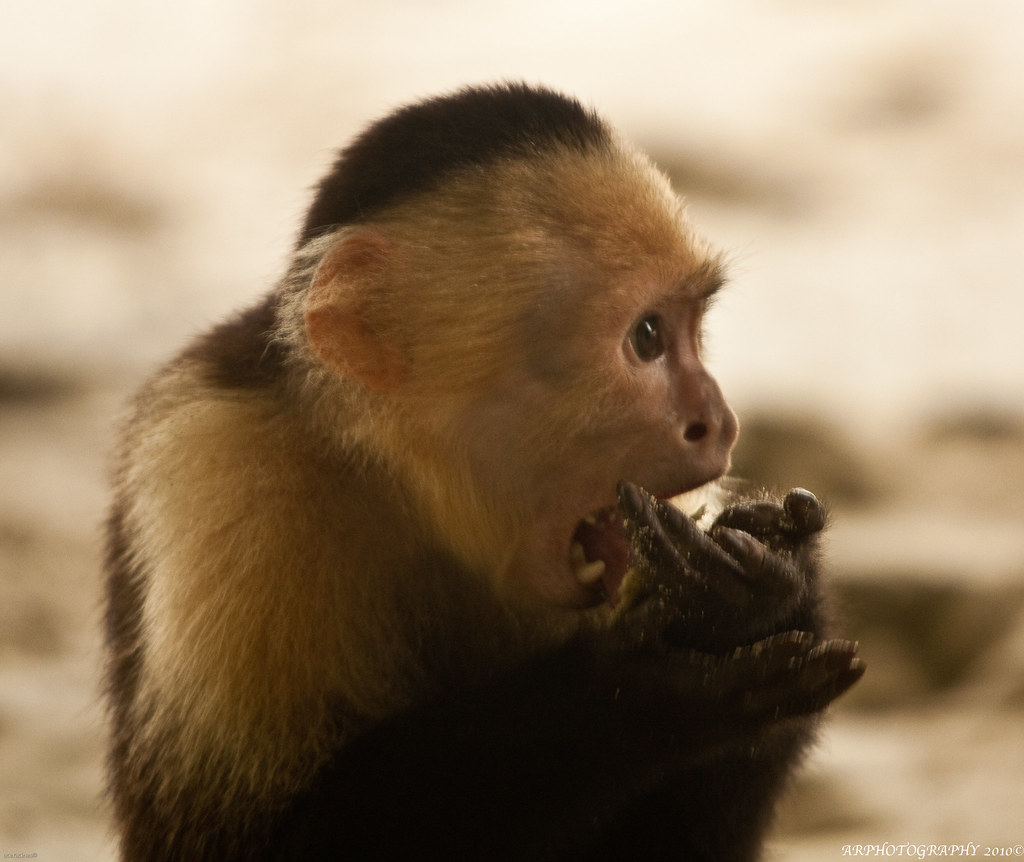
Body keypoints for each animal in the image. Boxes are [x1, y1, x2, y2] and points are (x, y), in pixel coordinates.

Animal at [103, 83, 864, 862]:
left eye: (690, 331)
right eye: (647, 338)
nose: (720, 421)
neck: (405, 489)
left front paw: (784, 586)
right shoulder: (224, 479)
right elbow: (244, 841)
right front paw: (651, 682)